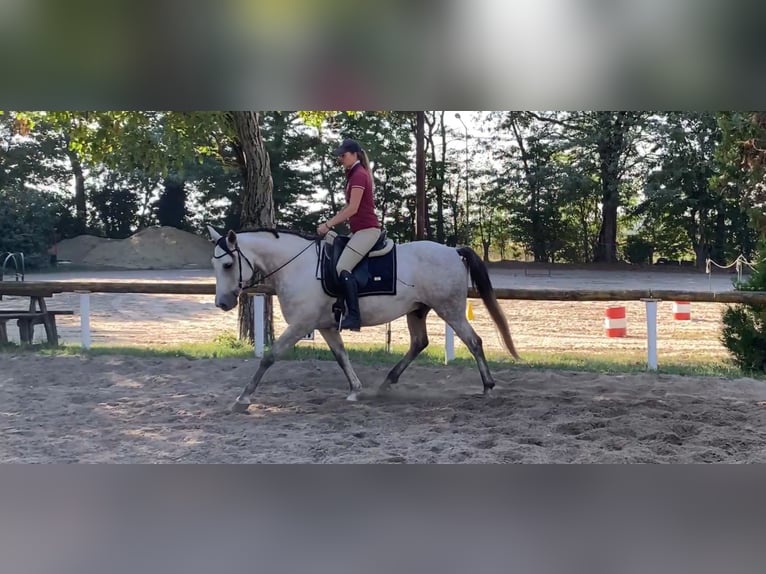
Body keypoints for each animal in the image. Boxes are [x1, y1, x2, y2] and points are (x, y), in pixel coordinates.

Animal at [206, 225, 520, 413]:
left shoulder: (301, 325)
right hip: (417, 310)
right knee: (419, 343)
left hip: (450, 309)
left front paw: (243, 398)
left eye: (228, 264)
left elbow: (269, 357)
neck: (297, 266)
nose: (222, 303)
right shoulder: (325, 326)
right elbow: (342, 356)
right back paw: (385, 384)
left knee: (473, 341)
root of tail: (452, 250)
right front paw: (356, 391)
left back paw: (488, 386)